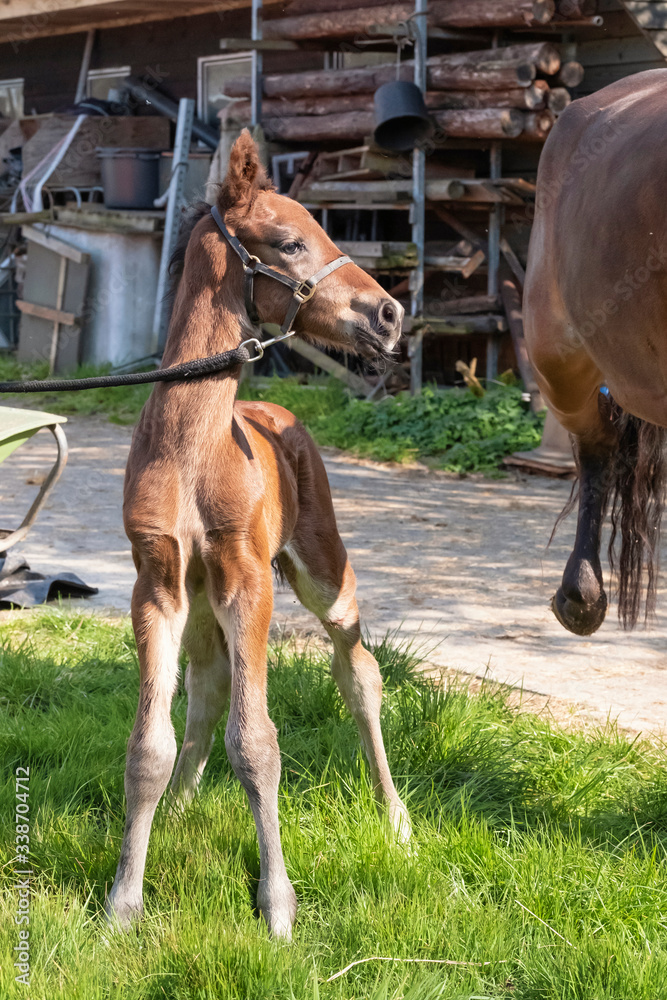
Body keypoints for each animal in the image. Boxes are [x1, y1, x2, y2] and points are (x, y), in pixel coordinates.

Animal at [104, 130, 410, 940]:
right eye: (291, 242)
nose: (390, 314)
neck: (192, 449)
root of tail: (276, 412)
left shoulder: (248, 581)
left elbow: (258, 741)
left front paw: (277, 906)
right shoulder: (158, 583)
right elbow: (149, 743)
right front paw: (122, 903)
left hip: (322, 574)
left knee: (359, 672)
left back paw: (396, 818)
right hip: (203, 601)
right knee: (207, 690)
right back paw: (181, 808)